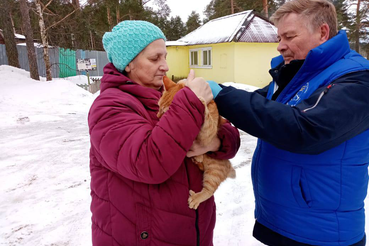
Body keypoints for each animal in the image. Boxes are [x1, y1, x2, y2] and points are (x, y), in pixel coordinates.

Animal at [157, 75, 234, 209]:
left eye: (164, 112)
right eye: (158, 107)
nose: (157, 117)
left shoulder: (209, 132)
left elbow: (206, 121)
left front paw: (201, 102)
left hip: (214, 170)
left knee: (209, 190)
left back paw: (196, 198)